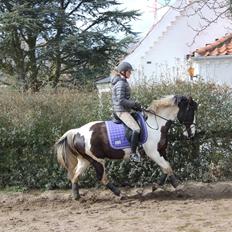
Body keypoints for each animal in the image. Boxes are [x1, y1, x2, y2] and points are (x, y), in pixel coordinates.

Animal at [54, 94, 198, 199]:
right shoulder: (153, 153)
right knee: (102, 178)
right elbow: (168, 167)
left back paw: (76, 197)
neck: (155, 125)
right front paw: (178, 187)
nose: (192, 134)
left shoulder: (161, 151)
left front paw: (156, 186)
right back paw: (120, 194)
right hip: (97, 160)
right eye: (191, 111)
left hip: (86, 160)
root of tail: (76, 132)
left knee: (75, 176)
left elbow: (166, 169)